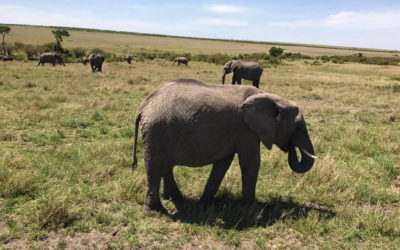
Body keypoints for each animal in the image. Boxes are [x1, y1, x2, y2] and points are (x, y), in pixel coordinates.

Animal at [133, 78, 318, 215]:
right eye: (297, 127)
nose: (291, 147)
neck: (273, 98)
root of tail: (145, 104)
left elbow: (223, 164)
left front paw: (205, 203)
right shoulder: (246, 130)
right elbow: (250, 163)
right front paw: (252, 208)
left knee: (165, 165)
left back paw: (176, 198)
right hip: (157, 129)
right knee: (155, 165)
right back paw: (155, 212)